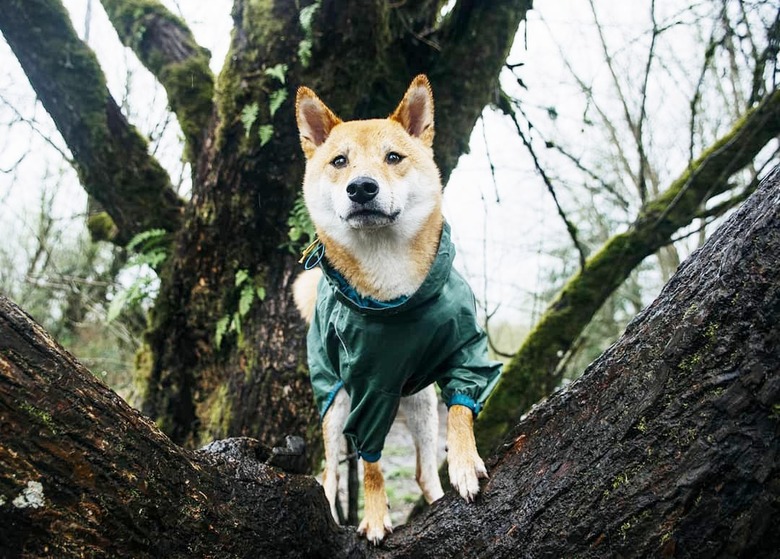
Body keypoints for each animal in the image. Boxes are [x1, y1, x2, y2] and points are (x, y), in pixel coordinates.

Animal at [290, 74, 500, 544]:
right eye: (340, 161)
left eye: (393, 157)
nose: (361, 187)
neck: (393, 296)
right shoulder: (367, 392)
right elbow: (371, 465)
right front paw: (373, 516)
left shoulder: (465, 351)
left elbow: (461, 410)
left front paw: (464, 464)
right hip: (335, 403)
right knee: (332, 473)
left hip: (420, 406)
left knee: (423, 472)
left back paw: (438, 495)